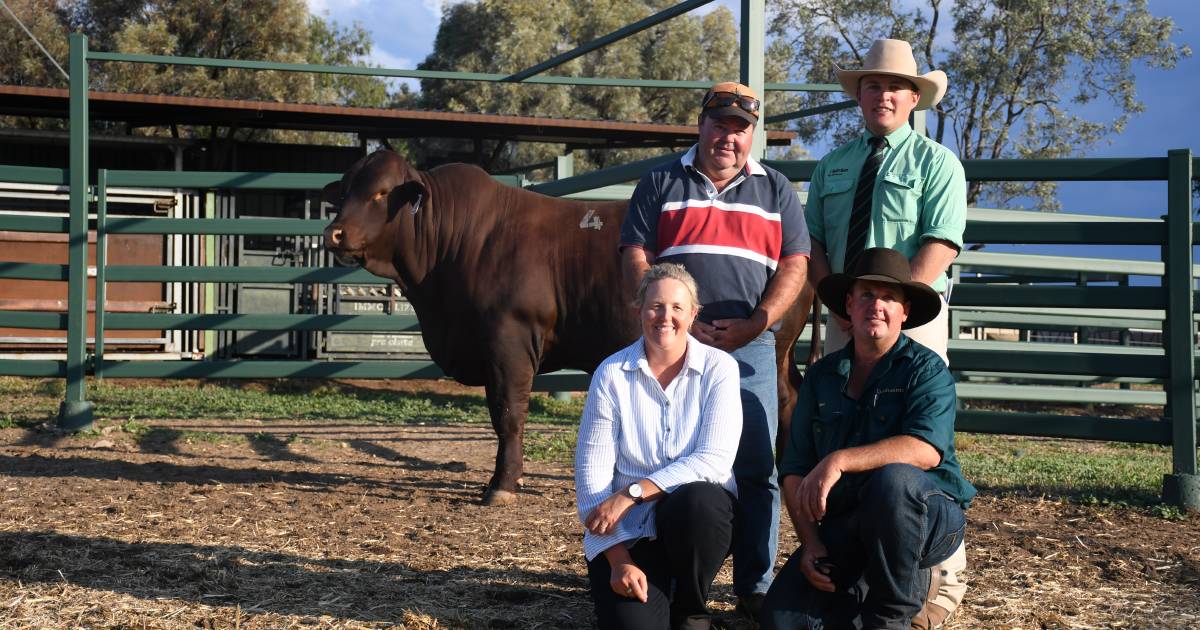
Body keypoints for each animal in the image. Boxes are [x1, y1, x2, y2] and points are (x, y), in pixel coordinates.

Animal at [324, 150, 820, 504]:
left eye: (380, 193)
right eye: (344, 191)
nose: (334, 234)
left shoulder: (509, 340)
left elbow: (508, 414)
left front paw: (501, 486)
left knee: (778, 402)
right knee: (791, 399)